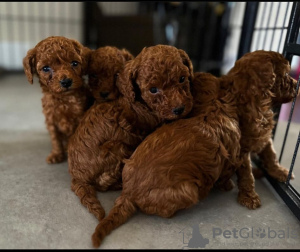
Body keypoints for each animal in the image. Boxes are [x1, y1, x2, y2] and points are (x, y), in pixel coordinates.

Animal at [22, 36, 91, 164]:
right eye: (45, 68)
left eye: (74, 63)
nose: (66, 82)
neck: (63, 99)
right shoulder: (51, 120)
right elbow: (55, 139)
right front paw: (56, 154)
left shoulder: (79, 117)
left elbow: (76, 137)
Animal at [67, 44, 195, 221]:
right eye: (153, 89)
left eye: (182, 78)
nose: (179, 109)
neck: (140, 101)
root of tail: (76, 176)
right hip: (116, 148)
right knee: (103, 182)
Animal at [91, 72, 241, 248]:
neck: (210, 109)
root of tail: (128, 193)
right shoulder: (231, 155)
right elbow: (226, 175)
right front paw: (229, 185)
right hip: (188, 191)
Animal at [224, 49, 298, 209]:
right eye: (285, 74)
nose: (298, 84)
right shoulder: (243, 149)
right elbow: (246, 174)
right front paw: (249, 197)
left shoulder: (265, 137)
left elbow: (271, 155)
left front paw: (280, 172)